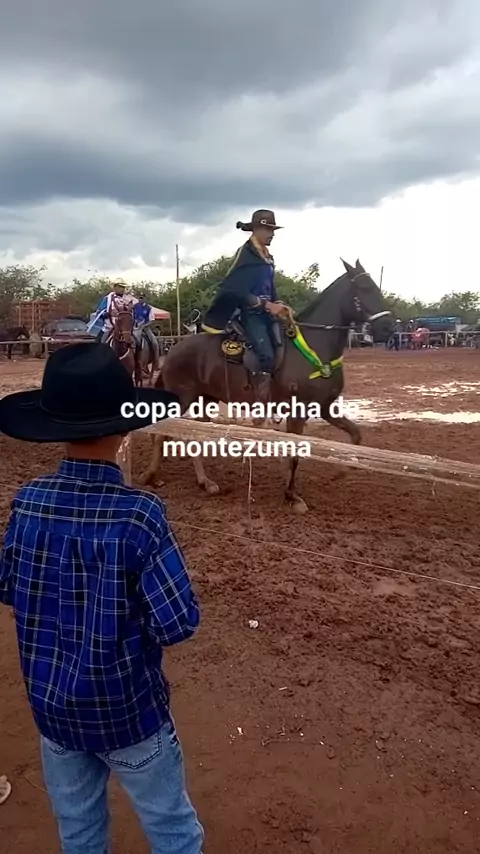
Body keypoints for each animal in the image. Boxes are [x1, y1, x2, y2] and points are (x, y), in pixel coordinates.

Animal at [141, 259, 392, 513]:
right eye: (364, 289)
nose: (388, 328)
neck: (315, 346)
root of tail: (174, 349)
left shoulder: (324, 408)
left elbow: (356, 435)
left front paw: (342, 472)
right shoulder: (298, 412)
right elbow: (295, 453)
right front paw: (292, 496)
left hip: (205, 400)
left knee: (191, 436)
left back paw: (206, 482)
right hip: (182, 398)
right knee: (162, 433)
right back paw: (151, 476)